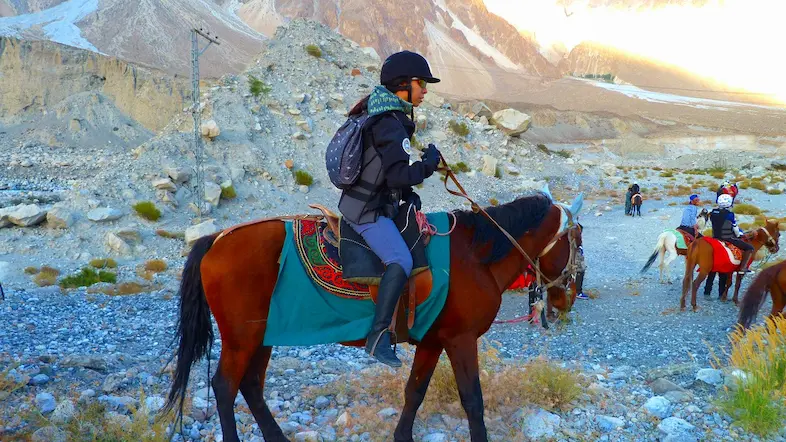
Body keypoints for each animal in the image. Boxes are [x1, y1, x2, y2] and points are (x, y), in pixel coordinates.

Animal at [162, 194, 576, 442]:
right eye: (579, 239)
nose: (567, 298)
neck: (475, 256)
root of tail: (215, 240)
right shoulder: (460, 339)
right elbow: (472, 398)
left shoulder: (433, 339)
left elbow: (415, 392)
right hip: (240, 339)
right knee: (225, 387)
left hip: (263, 335)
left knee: (249, 386)